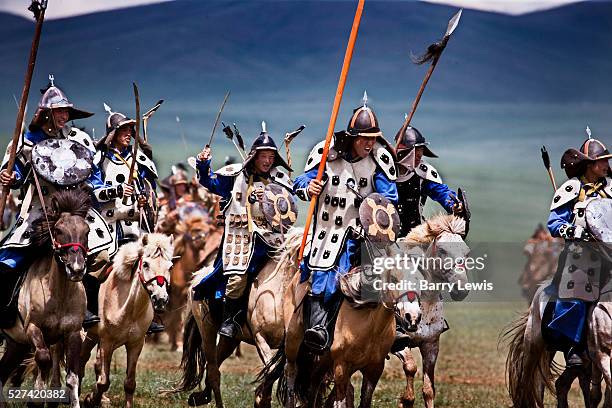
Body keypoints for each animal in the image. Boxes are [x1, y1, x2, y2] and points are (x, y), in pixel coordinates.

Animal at [0, 190, 92, 408]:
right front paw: (36, 398)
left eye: (87, 231)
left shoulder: (72, 333)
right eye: (58, 230)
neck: (58, 295)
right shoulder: (33, 328)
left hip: (16, 344)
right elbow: (44, 359)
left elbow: (72, 377)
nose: (76, 269)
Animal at [80, 233, 173, 408]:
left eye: (170, 267)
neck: (130, 309)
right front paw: (91, 399)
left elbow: (129, 383)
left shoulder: (135, 344)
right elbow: (104, 382)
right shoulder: (107, 342)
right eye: (146, 264)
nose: (160, 299)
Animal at [175, 228, 304, 406]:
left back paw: (201, 396)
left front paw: (261, 398)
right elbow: (271, 370)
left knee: (214, 365)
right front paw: (262, 398)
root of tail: (198, 276)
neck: (280, 291)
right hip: (207, 330)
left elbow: (278, 372)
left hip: (230, 340)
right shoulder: (260, 338)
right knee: (213, 371)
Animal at [390, 214, 470, 408]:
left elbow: (428, 390)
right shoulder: (399, 344)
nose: (461, 289)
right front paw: (405, 400)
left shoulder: (431, 345)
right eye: (441, 250)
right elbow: (411, 367)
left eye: (467, 253)